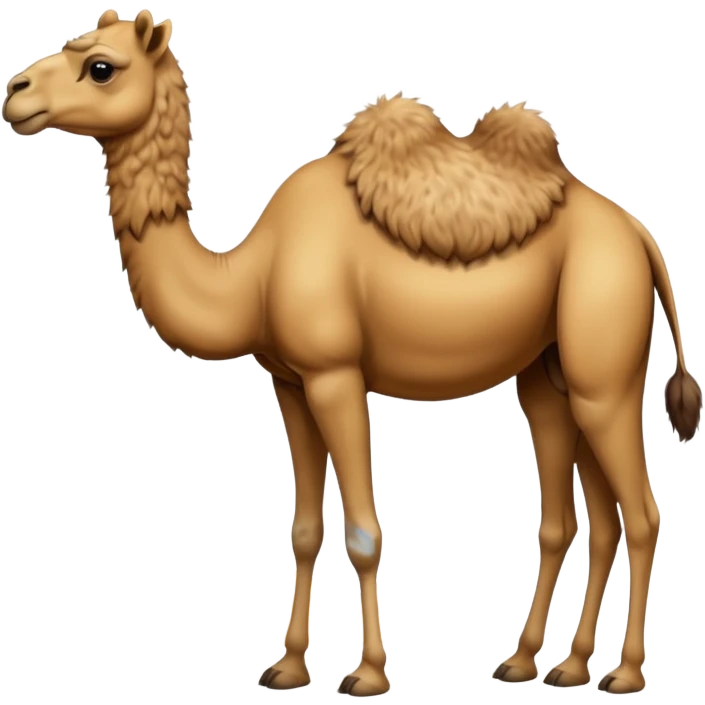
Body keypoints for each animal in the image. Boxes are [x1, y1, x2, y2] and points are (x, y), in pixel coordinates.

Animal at [3, 10, 702, 697]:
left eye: (100, 67)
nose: (16, 93)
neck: (252, 275)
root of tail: (639, 236)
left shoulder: (335, 375)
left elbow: (365, 531)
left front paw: (366, 674)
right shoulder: (290, 382)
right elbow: (303, 529)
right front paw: (287, 667)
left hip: (602, 361)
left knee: (641, 514)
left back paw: (624, 674)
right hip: (549, 372)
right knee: (587, 516)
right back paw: (547, 664)